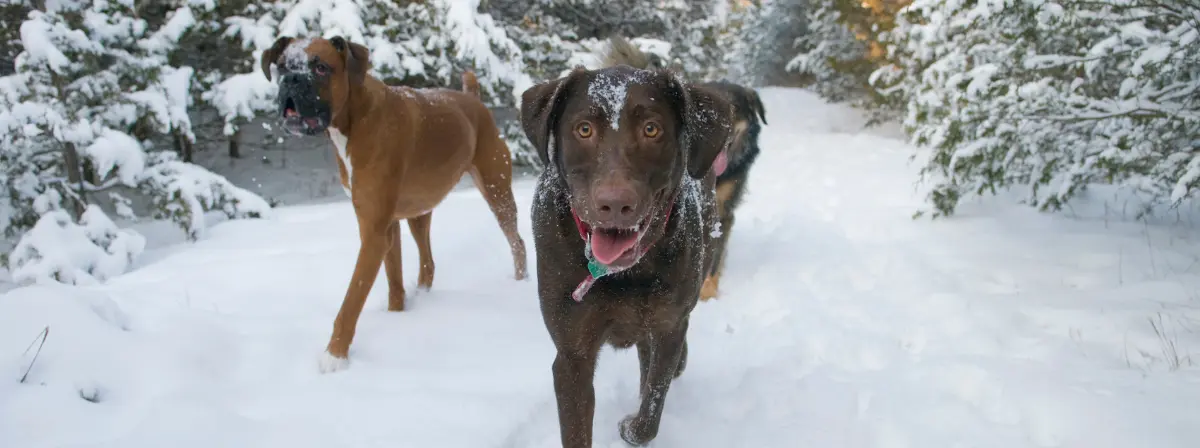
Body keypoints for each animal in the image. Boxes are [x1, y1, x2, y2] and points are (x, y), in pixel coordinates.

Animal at [260, 34, 528, 372]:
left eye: (321, 68)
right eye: (282, 67)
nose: (292, 81)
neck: (355, 118)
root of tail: (474, 100)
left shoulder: (373, 234)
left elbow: (353, 298)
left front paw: (335, 355)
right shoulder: (384, 226)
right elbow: (394, 279)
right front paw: (398, 317)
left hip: (497, 192)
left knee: (517, 242)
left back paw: (520, 282)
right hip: (419, 213)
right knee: (427, 261)